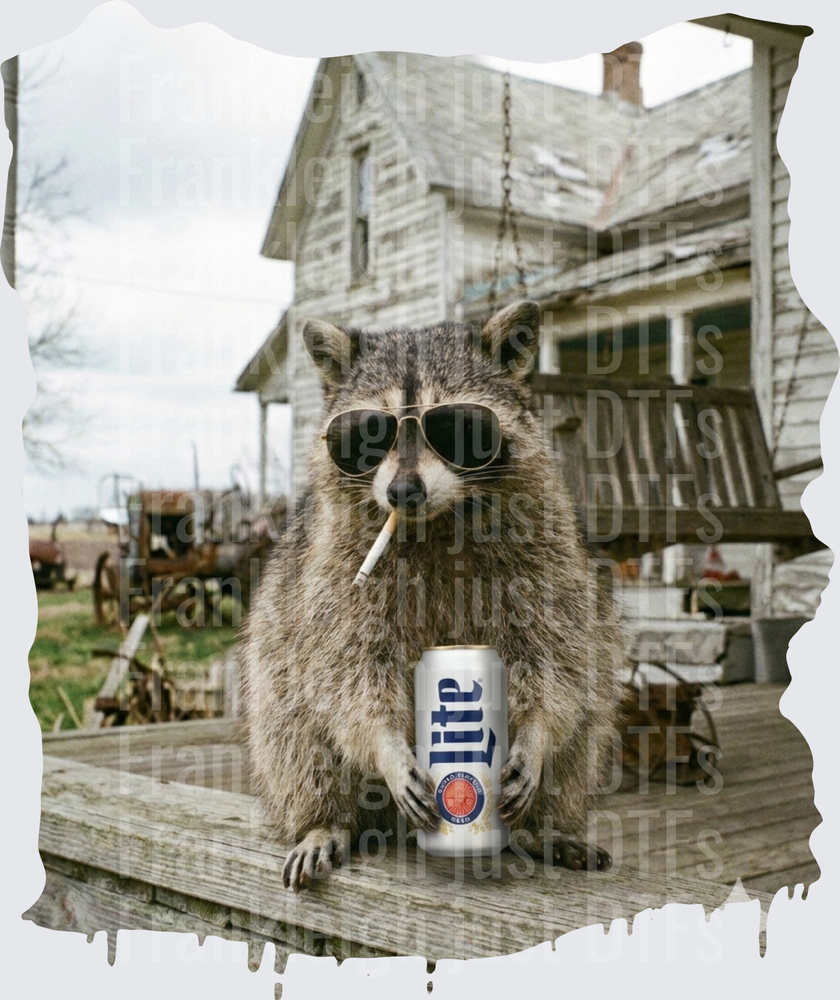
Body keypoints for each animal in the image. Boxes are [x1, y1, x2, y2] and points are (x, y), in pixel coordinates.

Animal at [242, 301, 622, 892]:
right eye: (366, 434)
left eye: (459, 427)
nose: (403, 492)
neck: (438, 520)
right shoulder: (331, 575)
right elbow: (347, 672)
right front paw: (387, 747)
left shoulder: (549, 553)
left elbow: (557, 657)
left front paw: (535, 737)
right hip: (280, 646)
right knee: (291, 725)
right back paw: (323, 820)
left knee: (589, 711)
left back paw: (544, 827)